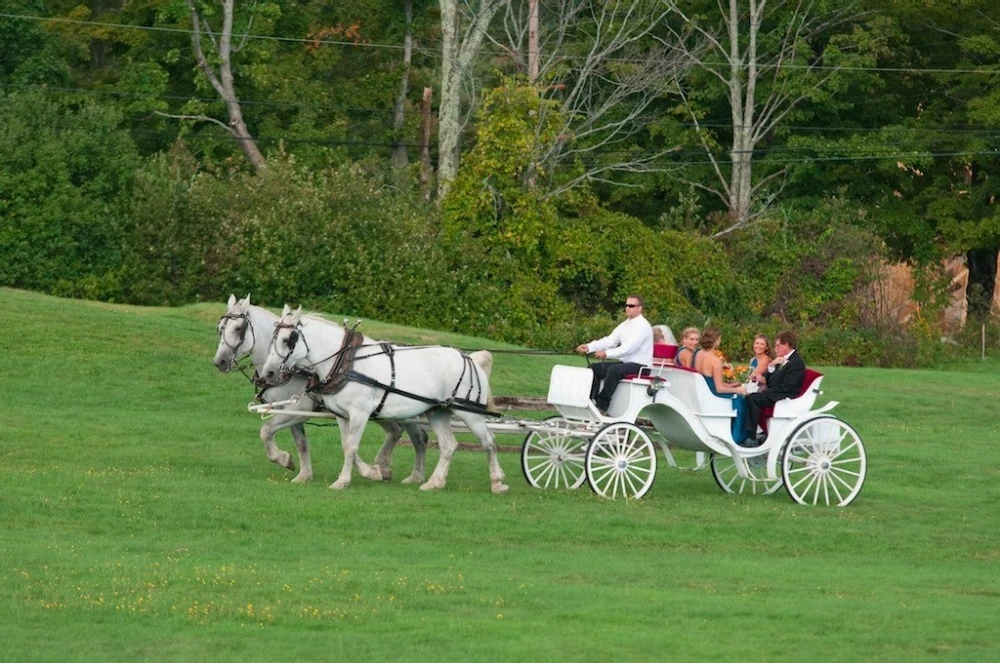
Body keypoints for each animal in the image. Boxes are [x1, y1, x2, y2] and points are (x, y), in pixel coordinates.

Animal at [213, 296, 428, 482]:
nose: (219, 362)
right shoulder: (292, 413)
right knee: (399, 431)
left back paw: (410, 474)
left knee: (419, 438)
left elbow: (266, 431)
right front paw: (304, 474)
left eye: (238, 328)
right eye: (220, 328)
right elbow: (301, 444)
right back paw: (388, 467)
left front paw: (283, 458)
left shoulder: (297, 410)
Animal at [260, 306, 508, 492]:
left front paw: (343, 481)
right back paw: (434, 482)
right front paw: (371, 471)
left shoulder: (360, 414)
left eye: (288, 339)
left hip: (469, 413)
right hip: (438, 412)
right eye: (272, 338)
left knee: (489, 441)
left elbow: (351, 446)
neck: (346, 362)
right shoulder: (342, 415)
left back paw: (497, 482)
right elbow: (346, 445)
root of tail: (469, 358)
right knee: (449, 445)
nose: (268, 373)